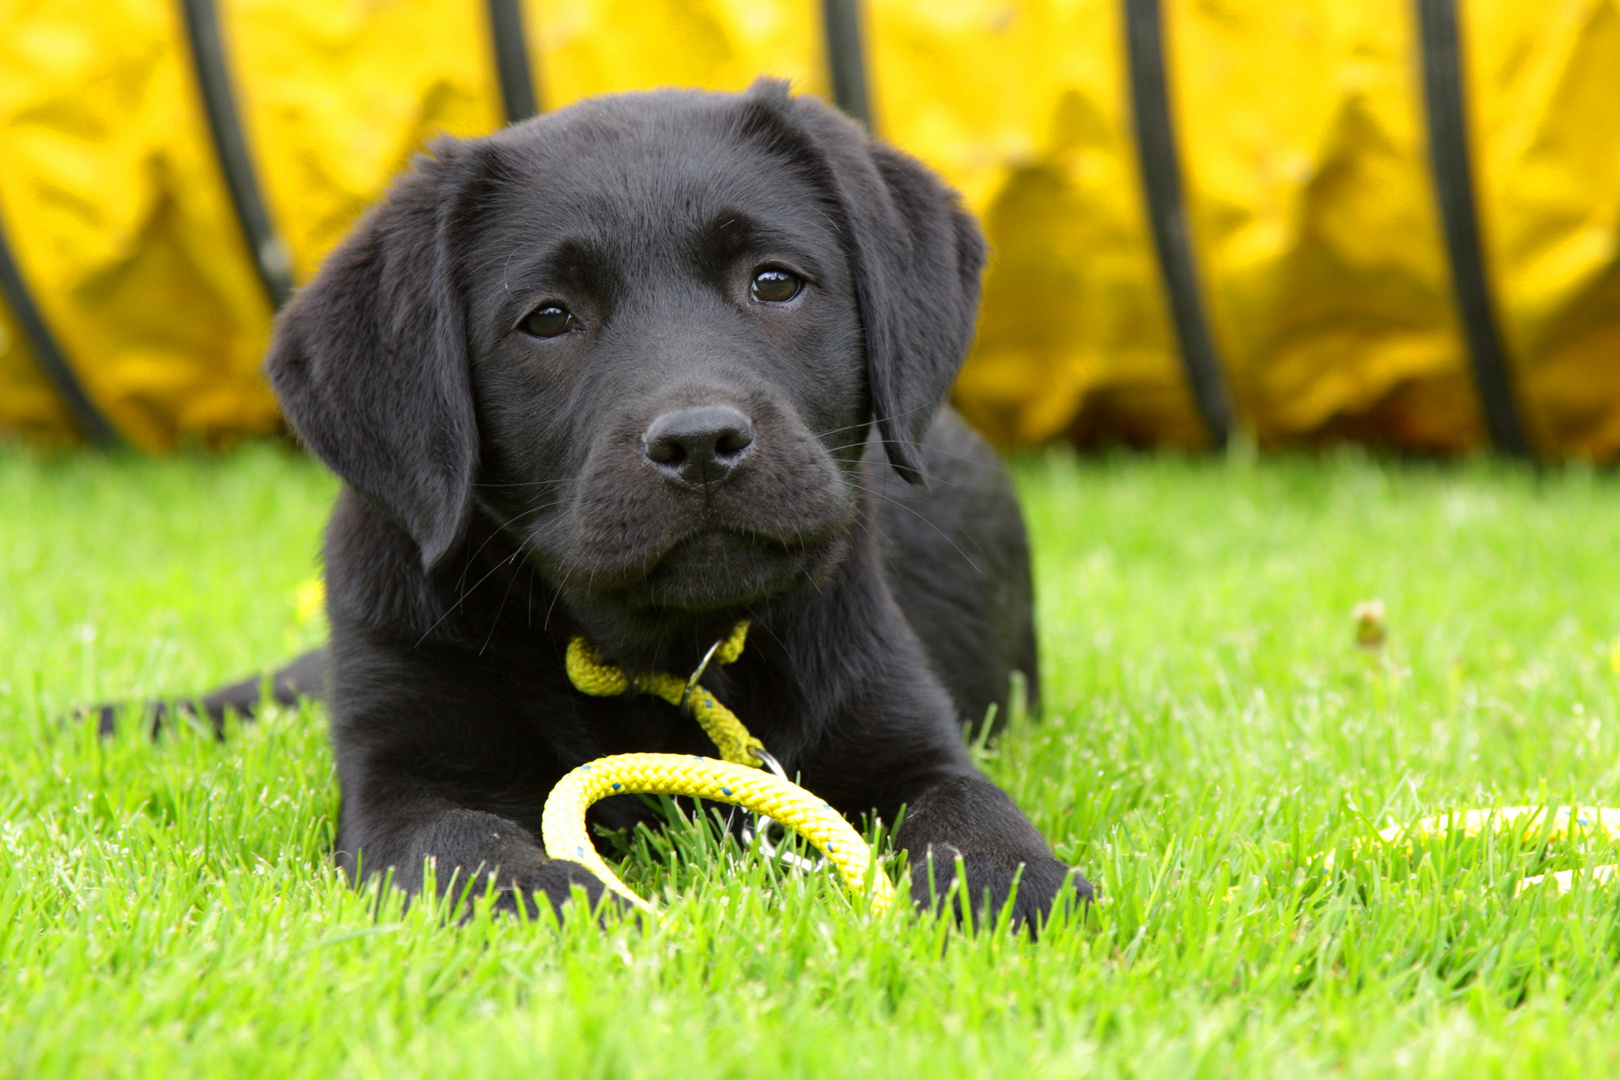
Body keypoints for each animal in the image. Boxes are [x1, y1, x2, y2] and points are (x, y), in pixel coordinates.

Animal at [236, 82, 1088, 932]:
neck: (660, 653)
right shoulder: (404, 773)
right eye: (548, 318)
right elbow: (461, 847)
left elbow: (973, 809)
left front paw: (1013, 887)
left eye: (774, 282)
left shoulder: (904, 732)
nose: (701, 442)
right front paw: (550, 897)